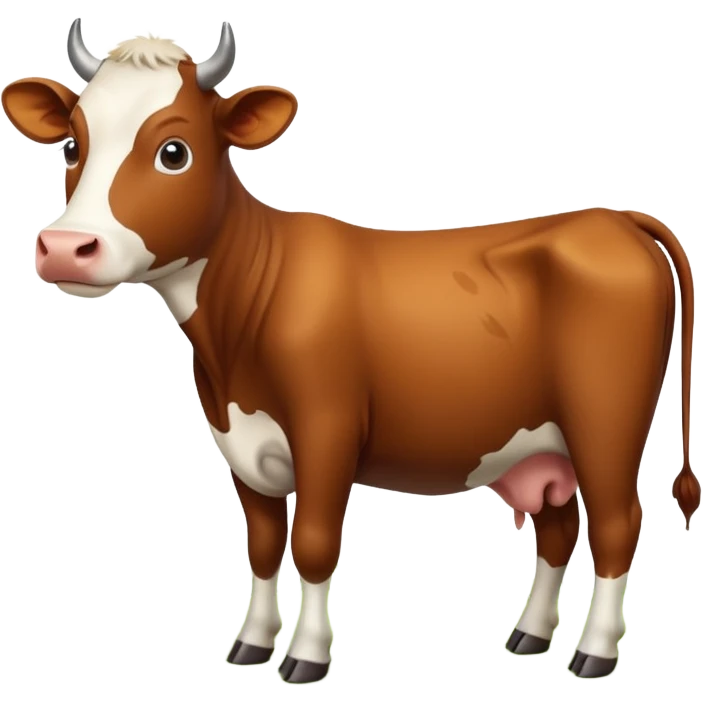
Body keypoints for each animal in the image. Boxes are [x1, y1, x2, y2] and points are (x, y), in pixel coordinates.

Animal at [2, 18, 698, 686]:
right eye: (72, 145)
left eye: (174, 151)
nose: (65, 249)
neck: (233, 337)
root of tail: (610, 218)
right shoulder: (238, 439)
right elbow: (262, 544)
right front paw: (253, 645)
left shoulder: (327, 430)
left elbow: (311, 544)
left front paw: (307, 656)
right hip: (541, 447)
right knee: (558, 528)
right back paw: (528, 635)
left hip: (606, 423)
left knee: (615, 524)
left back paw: (596, 652)